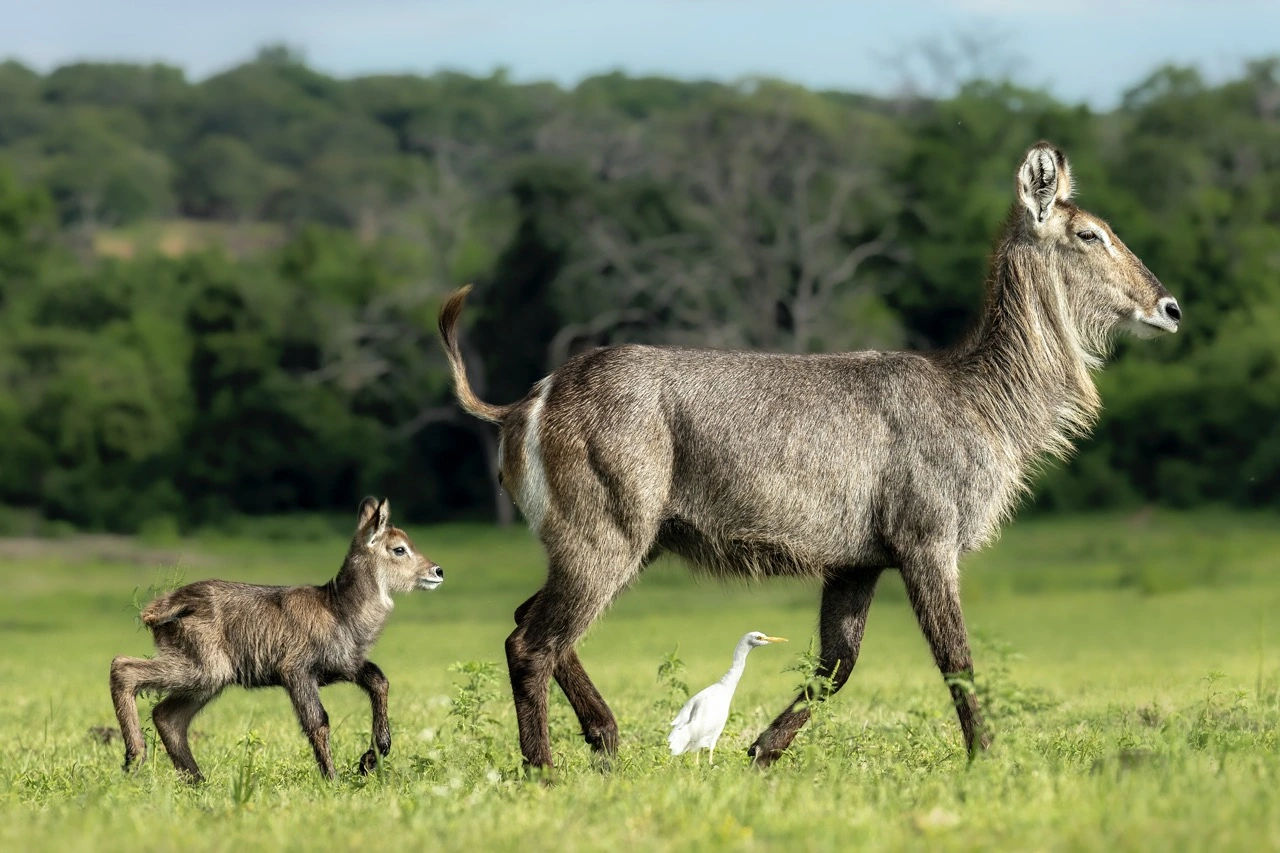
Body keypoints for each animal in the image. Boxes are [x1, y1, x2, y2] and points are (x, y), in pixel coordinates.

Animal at [106, 494, 445, 778]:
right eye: (399, 548)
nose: (438, 571)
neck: (338, 608)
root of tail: (162, 606)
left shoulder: (344, 665)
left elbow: (380, 681)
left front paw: (370, 759)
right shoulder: (296, 670)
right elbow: (318, 721)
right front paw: (333, 778)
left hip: (210, 677)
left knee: (167, 716)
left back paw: (197, 781)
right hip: (202, 668)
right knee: (122, 667)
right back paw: (135, 759)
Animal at [440, 142, 1177, 768]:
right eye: (1089, 234)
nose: (1168, 306)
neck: (980, 400)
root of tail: (526, 403)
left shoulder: (857, 561)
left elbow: (835, 664)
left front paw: (761, 750)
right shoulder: (927, 540)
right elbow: (957, 660)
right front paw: (988, 760)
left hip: (625, 541)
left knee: (530, 622)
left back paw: (606, 738)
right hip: (607, 534)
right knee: (532, 640)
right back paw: (545, 767)